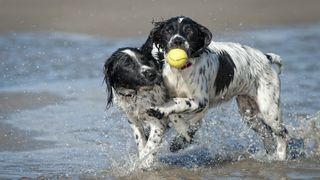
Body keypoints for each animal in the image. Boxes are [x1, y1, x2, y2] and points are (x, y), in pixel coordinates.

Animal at [144, 16, 288, 160]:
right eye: (168, 30)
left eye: (189, 30)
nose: (177, 40)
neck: (181, 71)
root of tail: (266, 57)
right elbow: (177, 114)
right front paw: (180, 135)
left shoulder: (201, 102)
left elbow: (179, 103)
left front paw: (163, 113)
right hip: (248, 113)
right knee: (266, 133)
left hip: (269, 109)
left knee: (283, 133)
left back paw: (280, 157)